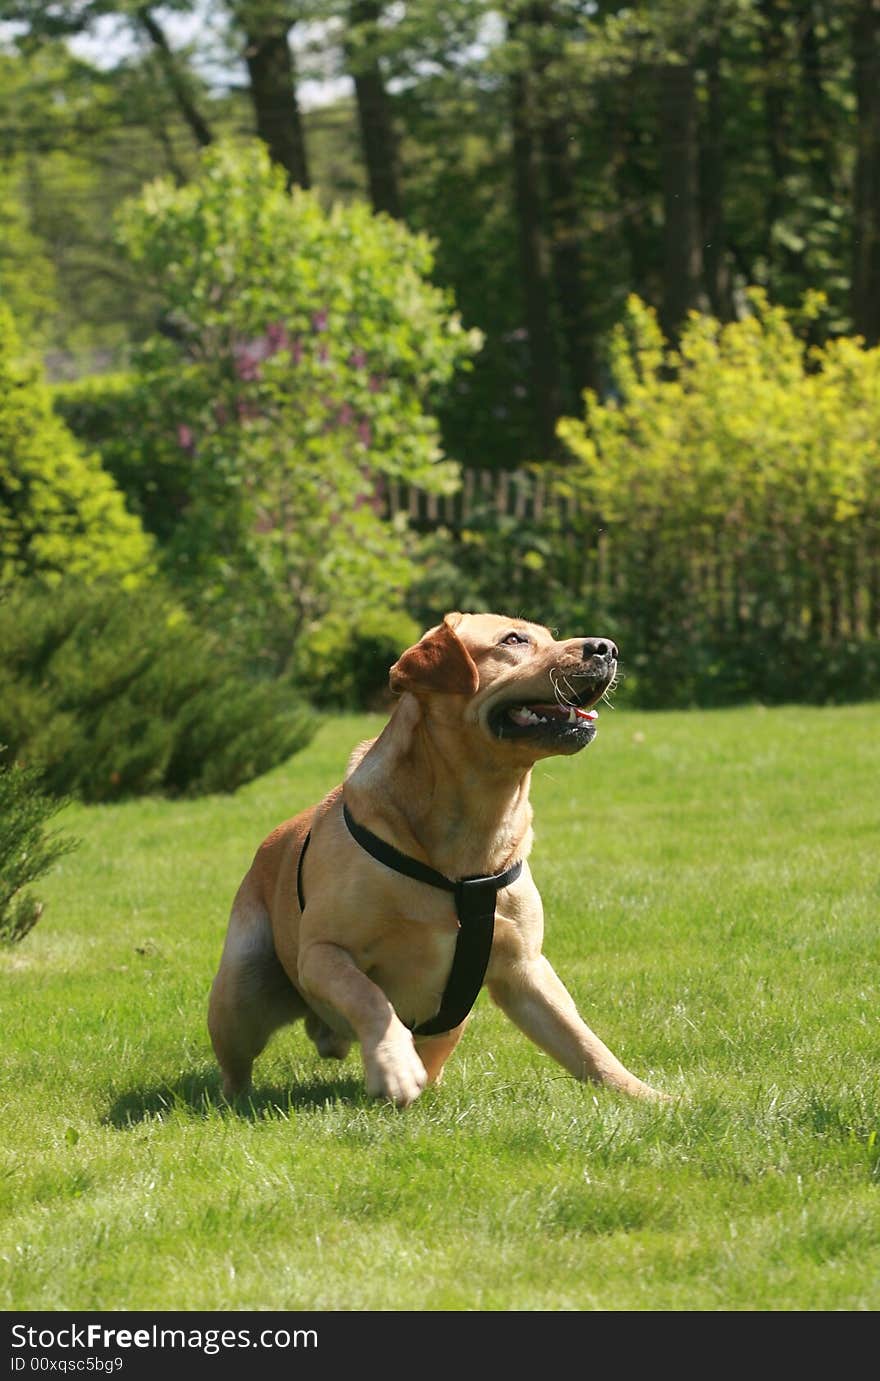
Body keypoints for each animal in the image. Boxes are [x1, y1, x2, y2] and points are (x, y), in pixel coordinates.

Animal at [205, 610, 657, 1104]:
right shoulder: (322, 953)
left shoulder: (525, 970)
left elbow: (581, 1040)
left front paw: (648, 1096)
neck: (471, 836)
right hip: (240, 990)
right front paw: (394, 1065)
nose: (607, 648)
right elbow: (370, 998)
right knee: (236, 1065)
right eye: (513, 640)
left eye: (548, 636)